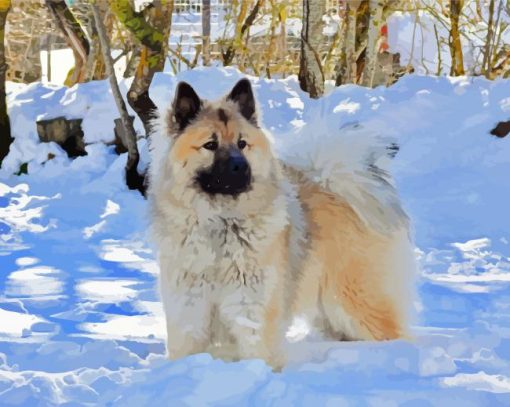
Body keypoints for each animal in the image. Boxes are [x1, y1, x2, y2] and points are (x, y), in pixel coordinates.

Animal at [148, 78, 418, 368]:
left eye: (242, 144)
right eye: (211, 144)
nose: (240, 167)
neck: (221, 223)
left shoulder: (252, 311)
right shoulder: (189, 312)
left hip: (357, 304)